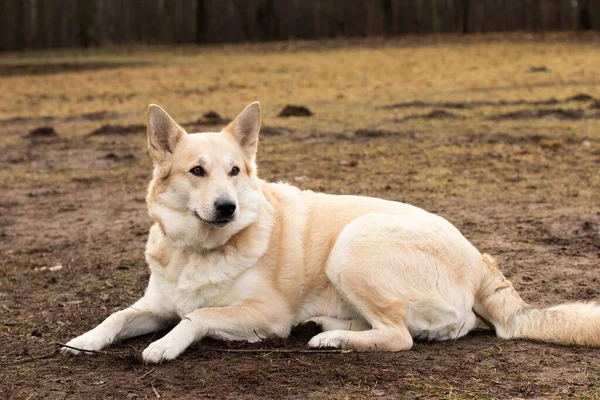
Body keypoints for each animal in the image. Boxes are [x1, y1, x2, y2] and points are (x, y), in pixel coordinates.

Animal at [62, 102, 600, 362]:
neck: (199, 249)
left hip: (353, 245)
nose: (228, 207)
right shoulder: (154, 305)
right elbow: (116, 315)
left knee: (400, 336)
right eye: (197, 171)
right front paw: (84, 341)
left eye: (234, 171)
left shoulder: (266, 313)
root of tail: (479, 257)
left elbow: (199, 316)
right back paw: (327, 327)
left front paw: (165, 345)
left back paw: (334, 340)